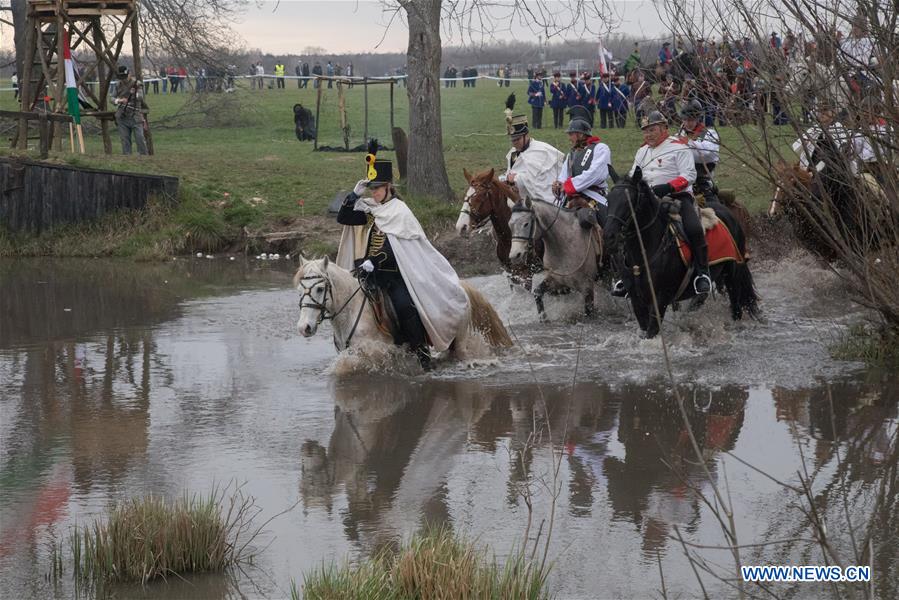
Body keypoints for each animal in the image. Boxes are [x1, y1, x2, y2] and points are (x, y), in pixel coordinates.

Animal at [292, 255, 510, 358]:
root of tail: (461, 286)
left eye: (320, 288)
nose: (304, 328)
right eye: (299, 290)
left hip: (460, 339)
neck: (352, 312)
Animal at [600, 166, 764, 340]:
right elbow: (645, 329)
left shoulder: (660, 298)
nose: (608, 236)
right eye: (608, 199)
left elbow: (652, 331)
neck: (644, 252)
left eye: (629, 201)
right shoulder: (636, 298)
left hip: (732, 275)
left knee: (736, 308)